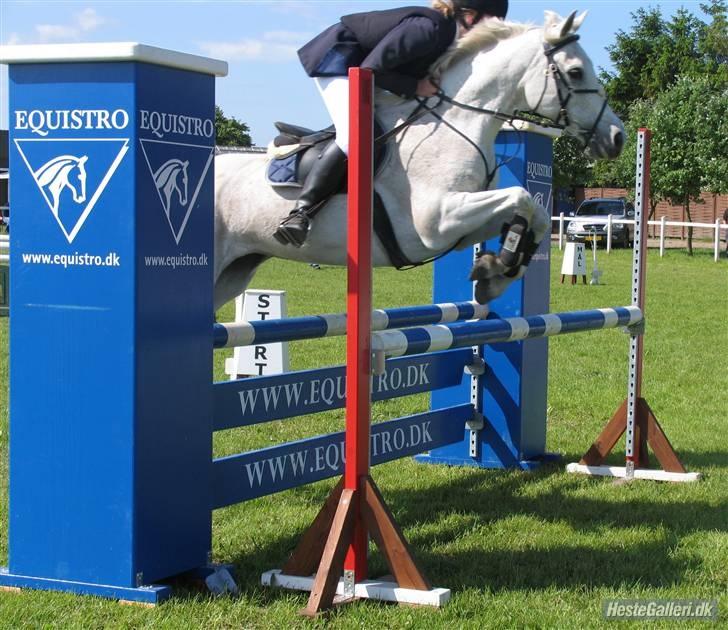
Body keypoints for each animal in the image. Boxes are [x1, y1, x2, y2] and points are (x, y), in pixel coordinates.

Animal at [212, 11, 624, 312]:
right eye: (575, 72)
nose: (617, 137)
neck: (459, 123)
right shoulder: (435, 222)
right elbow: (521, 197)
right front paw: (497, 268)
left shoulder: (460, 227)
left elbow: (533, 213)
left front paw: (494, 272)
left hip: (234, 273)